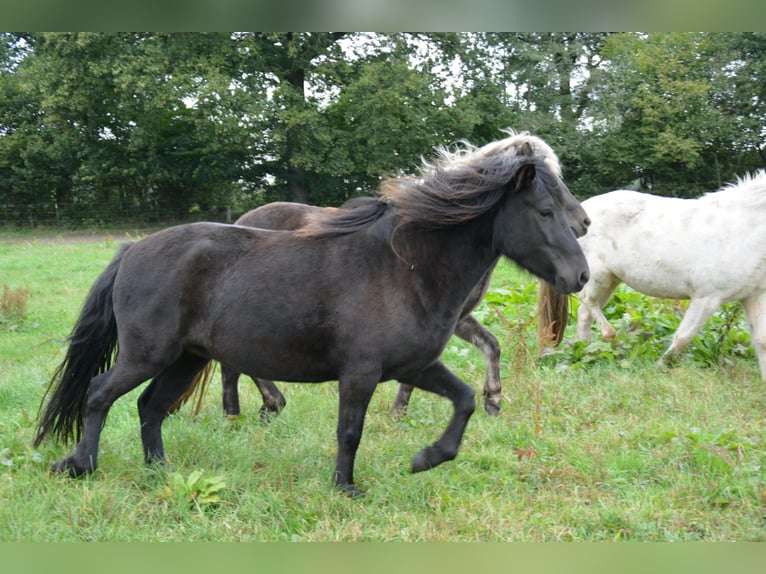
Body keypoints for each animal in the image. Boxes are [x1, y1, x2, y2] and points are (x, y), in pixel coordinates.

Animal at [33, 133, 589, 496]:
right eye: (545, 211)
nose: (581, 275)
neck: (403, 267)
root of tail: (133, 249)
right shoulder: (361, 372)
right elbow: (350, 431)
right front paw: (346, 488)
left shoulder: (413, 365)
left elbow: (466, 399)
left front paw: (426, 459)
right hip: (148, 354)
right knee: (100, 393)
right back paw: (81, 465)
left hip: (186, 358)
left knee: (150, 407)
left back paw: (160, 472)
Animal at [537, 171, 766, 381]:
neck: (741, 229)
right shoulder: (707, 298)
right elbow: (683, 337)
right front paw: (660, 366)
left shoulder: (754, 297)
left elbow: (761, 341)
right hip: (597, 276)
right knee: (589, 303)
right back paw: (608, 340)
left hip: (610, 280)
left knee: (585, 313)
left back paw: (583, 350)